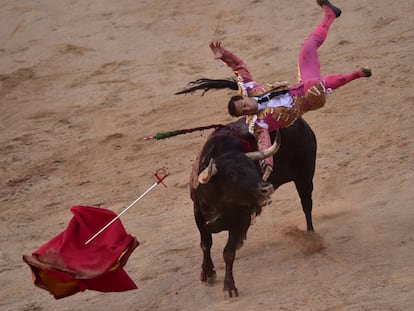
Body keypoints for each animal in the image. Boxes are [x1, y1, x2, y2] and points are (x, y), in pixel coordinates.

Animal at [189, 117, 316, 298]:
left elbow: (228, 253)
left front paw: (229, 287)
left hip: (305, 176)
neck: (221, 201)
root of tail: (301, 123)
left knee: (307, 205)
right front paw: (208, 273)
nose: (266, 188)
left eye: (253, 166)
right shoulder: (198, 213)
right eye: (232, 174)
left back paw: (311, 235)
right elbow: (205, 244)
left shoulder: (242, 219)